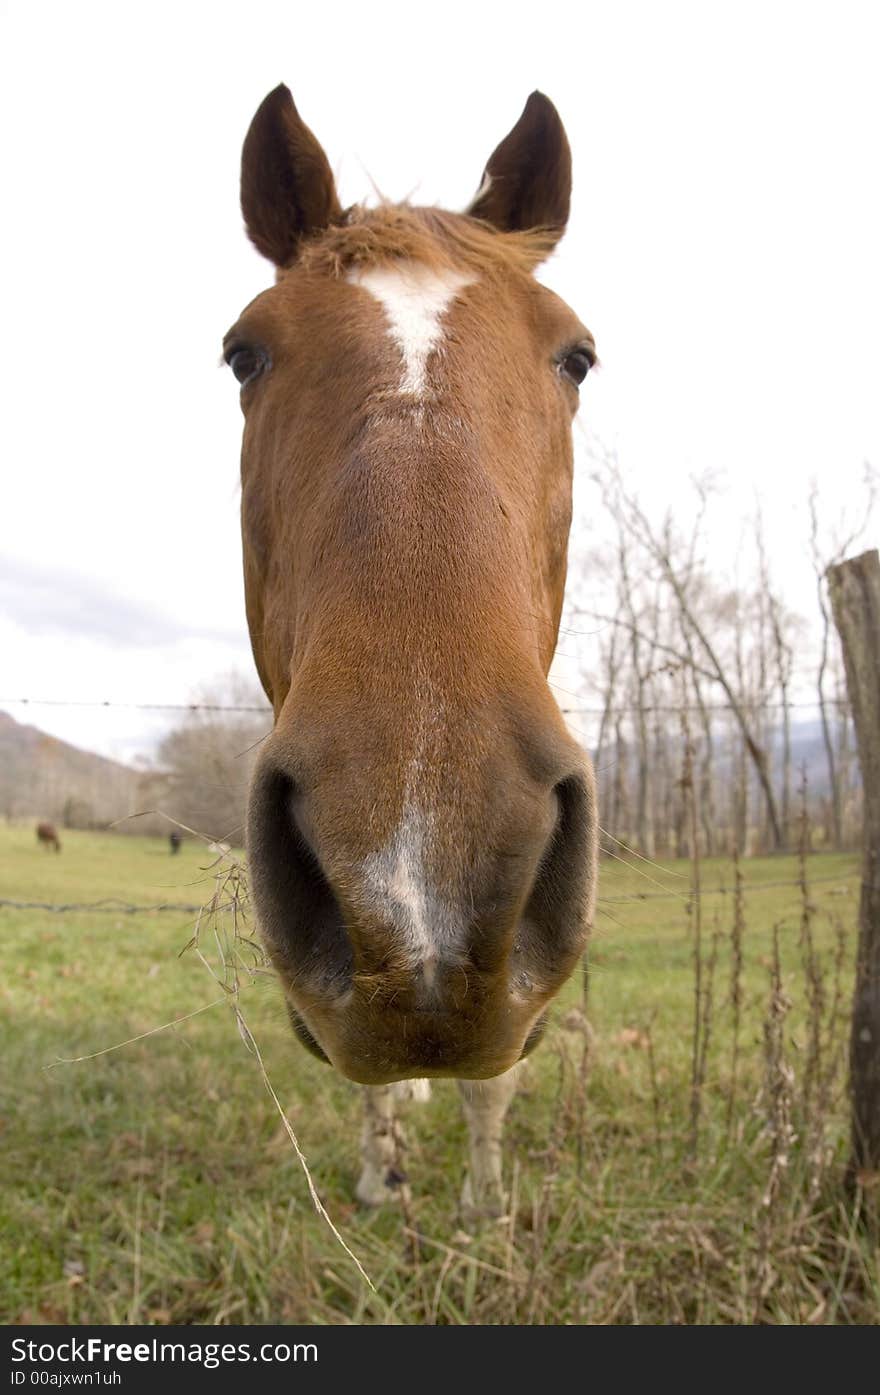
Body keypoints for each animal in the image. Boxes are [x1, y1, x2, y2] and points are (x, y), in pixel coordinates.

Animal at [227, 89, 599, 1222]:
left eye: (575, 356)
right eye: (244, 354)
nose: (422, 864)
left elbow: (498, 1075)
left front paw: (483, 1202)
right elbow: (372, 1078)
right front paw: (380, 1171)